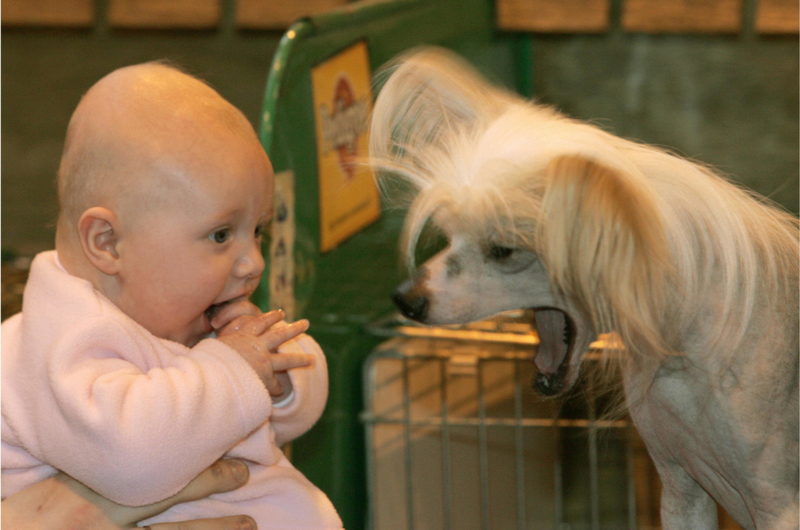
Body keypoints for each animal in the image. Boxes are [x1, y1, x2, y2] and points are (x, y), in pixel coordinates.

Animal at [370, 47, 800, 524]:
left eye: (502, 250)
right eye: (448, 237)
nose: (407, 301)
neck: (684, 366)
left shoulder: (780, 507)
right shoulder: (681, 492)